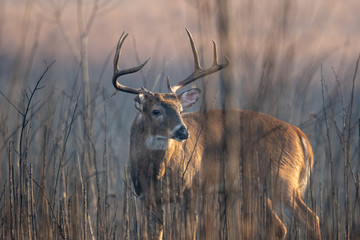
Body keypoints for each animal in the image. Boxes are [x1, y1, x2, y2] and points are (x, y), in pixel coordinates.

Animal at [111, 29, 322, 239]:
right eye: (156, 111)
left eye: (180, 109)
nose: (183, 131)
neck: (156, 173)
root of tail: (300, 135)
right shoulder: (146, 199)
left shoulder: (191, 189)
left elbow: (190, 232)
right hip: (255, 188)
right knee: (278, 227)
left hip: (281, 176)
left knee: (310, 218)